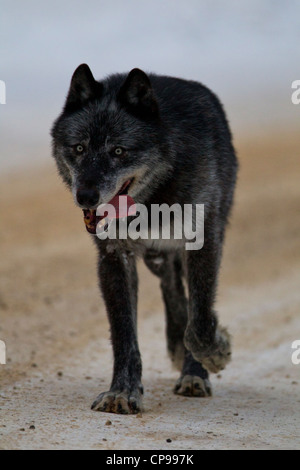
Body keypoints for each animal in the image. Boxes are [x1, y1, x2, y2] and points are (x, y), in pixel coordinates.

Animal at [50, 63, 238, 414]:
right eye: (79, 148)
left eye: (119, 151)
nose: (85, 197)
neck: (154, 199)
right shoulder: (114, 258)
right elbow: (124, 335)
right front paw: (122, 392)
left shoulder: (204, 244)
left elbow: (201, 321)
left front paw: (216, 354)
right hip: (156, 258)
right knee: (172, 289)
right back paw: (177, 347)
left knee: (188, 302)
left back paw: (192, 370)